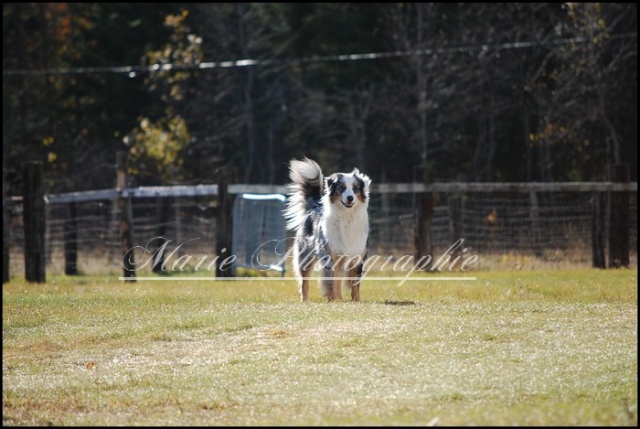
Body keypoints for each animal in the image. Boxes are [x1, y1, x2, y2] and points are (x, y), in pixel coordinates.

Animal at [284, 157, 372, 300]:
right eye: (342, 188)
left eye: (356, 189)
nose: (350, 198)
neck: (346, 216)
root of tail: (314, 206)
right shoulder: (330, 254)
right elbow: (331, 282)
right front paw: (333, 300)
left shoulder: (357, 255)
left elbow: (355, 283)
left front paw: (356, 300)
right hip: (306, 255)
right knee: (304, 282)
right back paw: (305, 300)